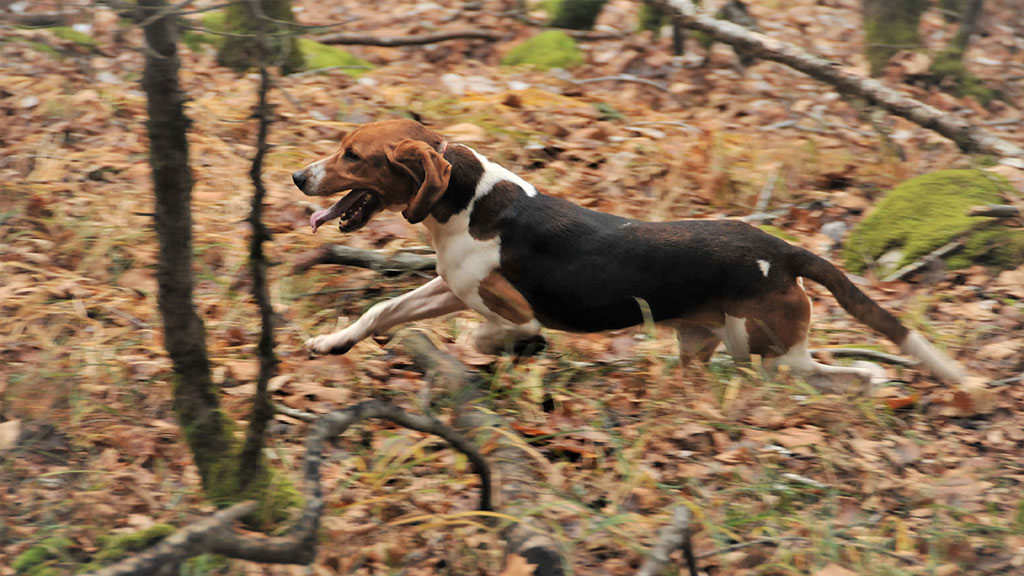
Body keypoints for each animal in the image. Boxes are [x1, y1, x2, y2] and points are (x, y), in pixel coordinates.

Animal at [290, 117, 966, 387]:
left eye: (353, 155)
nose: (298, 177)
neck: (468, 199)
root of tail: (782, 247)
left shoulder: (507, 308)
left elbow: (499, 334)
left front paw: (499, 352)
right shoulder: (451, 287)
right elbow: (381, 310)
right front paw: (332, 343)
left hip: (764, 348)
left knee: (828, 373)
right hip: (715, 345)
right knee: (847, 376)